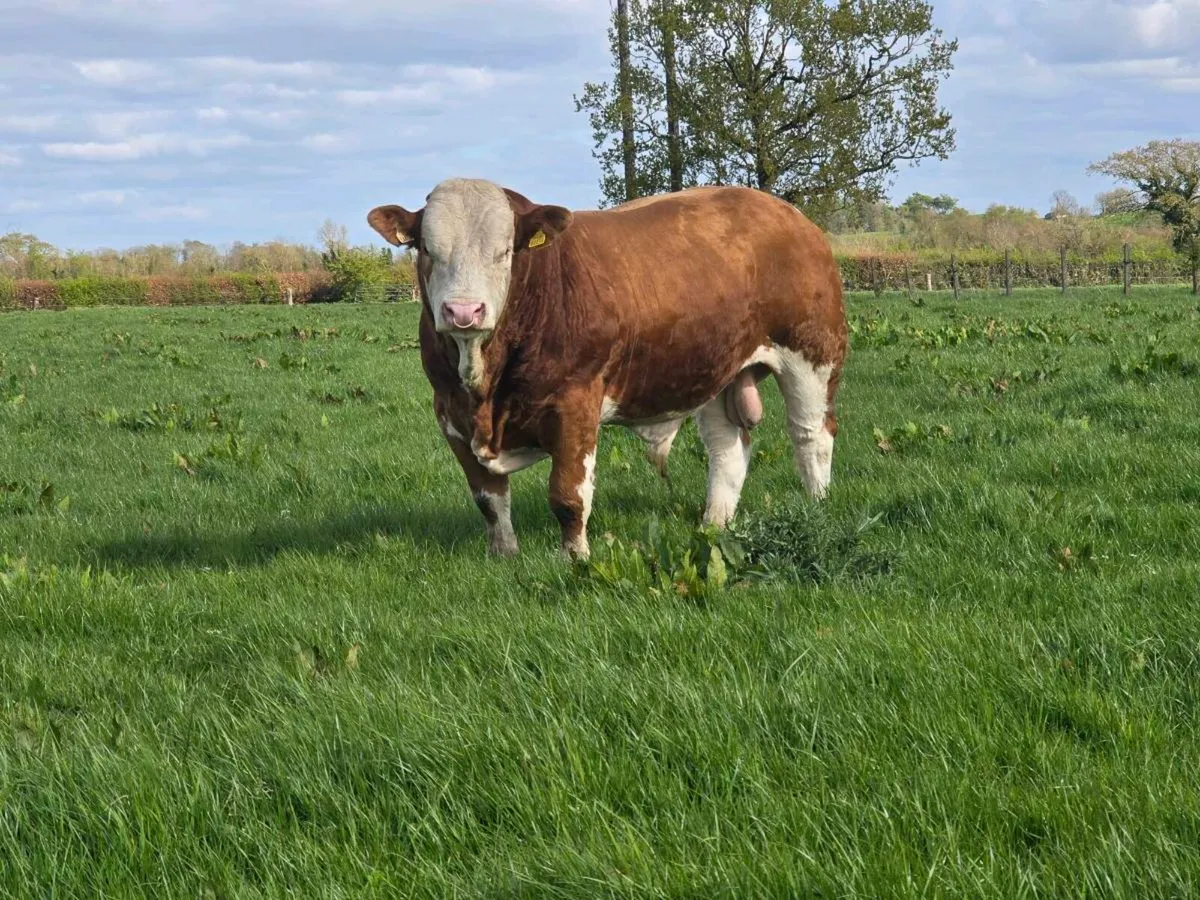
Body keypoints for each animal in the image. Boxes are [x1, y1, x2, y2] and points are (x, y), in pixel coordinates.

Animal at [367, 178, 847, 560]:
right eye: (426, 250)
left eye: (504, 252)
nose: (464, 311)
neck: (486, 390)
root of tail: (785, 211)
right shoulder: (449, 412)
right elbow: (488, 499)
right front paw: (504, 555)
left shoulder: (575, 402)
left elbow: (568, 495)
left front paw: (575, 559)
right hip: (713, 367)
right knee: (727, 448)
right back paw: (714, 524)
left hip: (813, 353)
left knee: (811, 434)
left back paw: (818, 507)